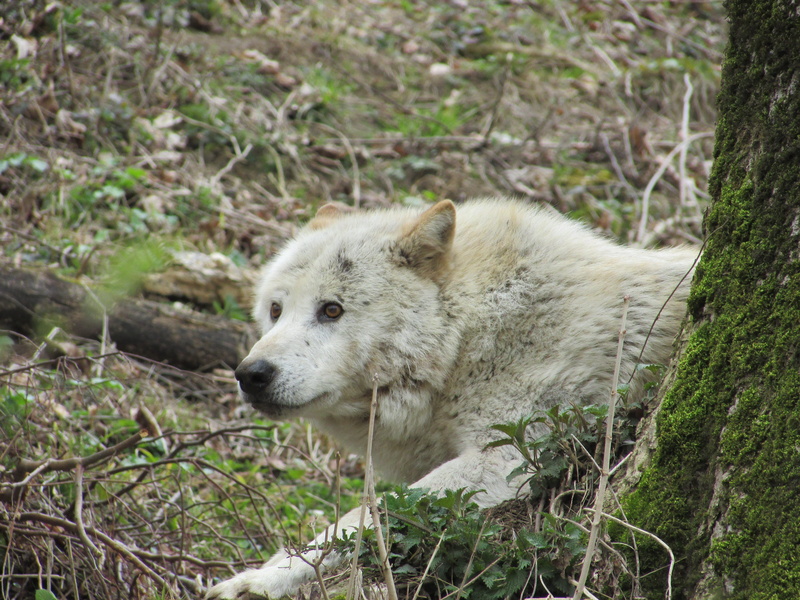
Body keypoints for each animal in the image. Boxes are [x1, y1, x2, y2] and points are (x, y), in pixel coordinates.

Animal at [206, 198, 696, 599]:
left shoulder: (508, 459)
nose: (251, 374)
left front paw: (256, 581)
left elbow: (359, 518)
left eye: (331, 310)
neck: (470, 334)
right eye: (275, 310)